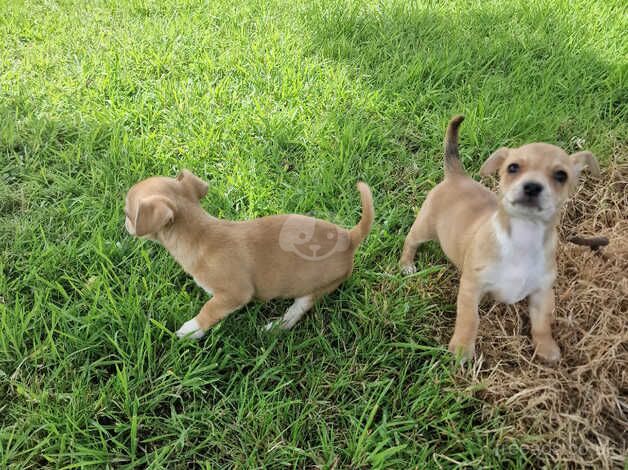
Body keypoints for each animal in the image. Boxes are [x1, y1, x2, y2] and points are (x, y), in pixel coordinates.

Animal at [125, 171, 376, 340]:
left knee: (296, 311)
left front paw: (191, 329)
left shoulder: (234, 294)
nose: (124, 225)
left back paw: (275, 326)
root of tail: (349, 238)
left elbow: (209, 310)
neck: (200, 235)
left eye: (128, 214)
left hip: (315, 287)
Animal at [400, 115, 600, 362]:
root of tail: (458, 176)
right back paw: (406, 265)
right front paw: (462, 348)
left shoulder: (542, 293)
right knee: (410, 241)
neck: (524, 234)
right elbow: (469, 320)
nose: (532, 186)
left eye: (561, 175)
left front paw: (546, 348)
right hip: (425, 227)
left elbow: (542, 324)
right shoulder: (471, 287)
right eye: (513, 167)